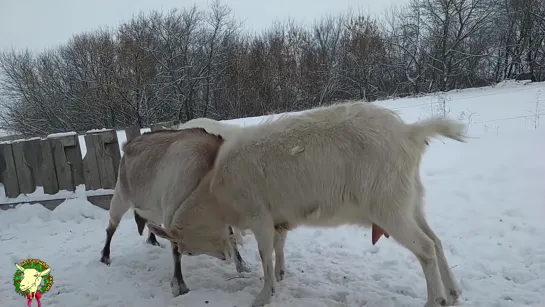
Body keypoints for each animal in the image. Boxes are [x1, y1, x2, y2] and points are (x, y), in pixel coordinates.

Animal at [99, 127, 249, 298]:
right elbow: (175, 249)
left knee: (150, 222)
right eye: (190, 253)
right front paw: (179, 285)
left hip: (153, 206)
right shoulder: (171, 209)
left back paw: (152, 240)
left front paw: (243, 266)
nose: (225, 256)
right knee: (111, 226)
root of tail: (128, 145)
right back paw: (105, 256)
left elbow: (231, 235)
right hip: (121, 196)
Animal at [147, 103, 466, 307]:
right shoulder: (278, 219)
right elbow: (278, 247)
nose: (225, 258)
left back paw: (434, 300)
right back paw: (452, 294)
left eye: (187, 250)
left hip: (388, 206)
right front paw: (280, 275)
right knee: (436, 241)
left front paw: (263, 295)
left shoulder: (259, 216)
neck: (216, 195)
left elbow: (264, 254)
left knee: (425, 248)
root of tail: (411, 133)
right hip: (410, 200)